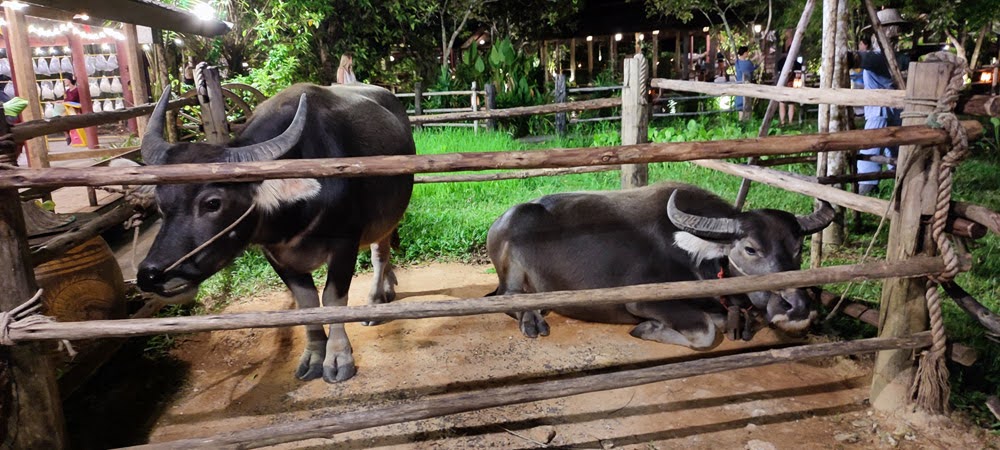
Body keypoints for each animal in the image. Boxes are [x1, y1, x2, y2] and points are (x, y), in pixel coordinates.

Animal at [136, 83, 414, 384]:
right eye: (161, 203)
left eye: (212, 203)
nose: (151, 275)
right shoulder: (275, 255)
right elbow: (307, 302)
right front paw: (314, 356)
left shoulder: (345, 244)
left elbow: (333, 299)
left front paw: (338, 357)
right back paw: (388, 287)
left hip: (389, 215)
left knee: (379, 254)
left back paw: (375, 300)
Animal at [486, 181, 836, 350]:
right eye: (750, 248)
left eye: (798, 248)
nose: (798, 307)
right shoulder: (643, 300)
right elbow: (706, 330)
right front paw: (648, 328)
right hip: (512, 268)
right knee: (507, 297)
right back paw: (532, 318)